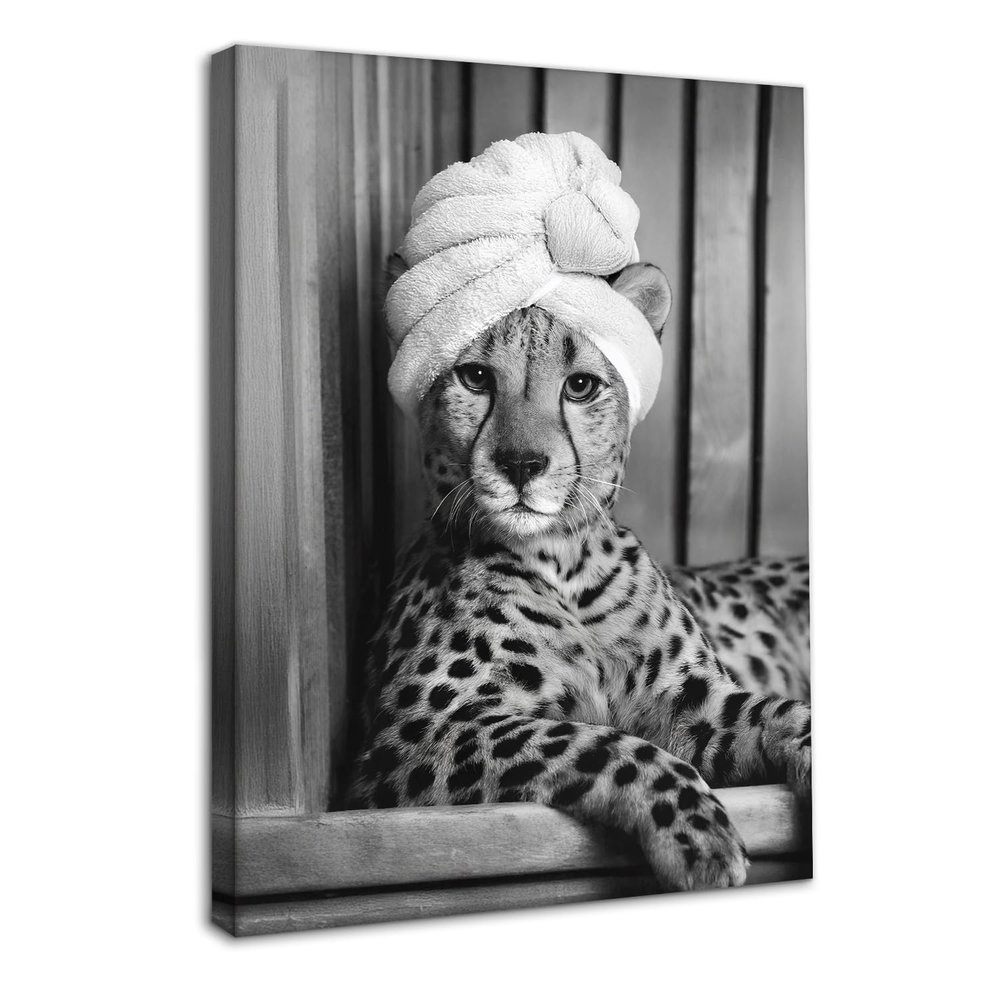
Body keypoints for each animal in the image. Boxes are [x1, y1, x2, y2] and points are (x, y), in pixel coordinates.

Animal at [347, 260, 811, 891]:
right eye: (475, 377)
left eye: (581, 386)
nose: (521, 464)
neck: (563, 563)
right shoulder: (416, 735)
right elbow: (596, 741)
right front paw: (696, 827)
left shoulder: (694, 700)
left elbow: (782, 711)